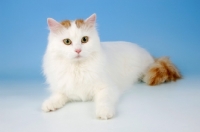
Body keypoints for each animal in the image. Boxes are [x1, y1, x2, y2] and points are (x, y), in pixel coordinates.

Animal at [41, 13, 181, 119]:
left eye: (84, 40)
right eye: (67, 42)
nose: (78, 50)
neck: (78, 68)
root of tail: (150, 55)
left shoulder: (107, 88)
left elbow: (104, 101)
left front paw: (104, 112)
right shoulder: (63, 89)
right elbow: (57, 96)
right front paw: (49, 104)